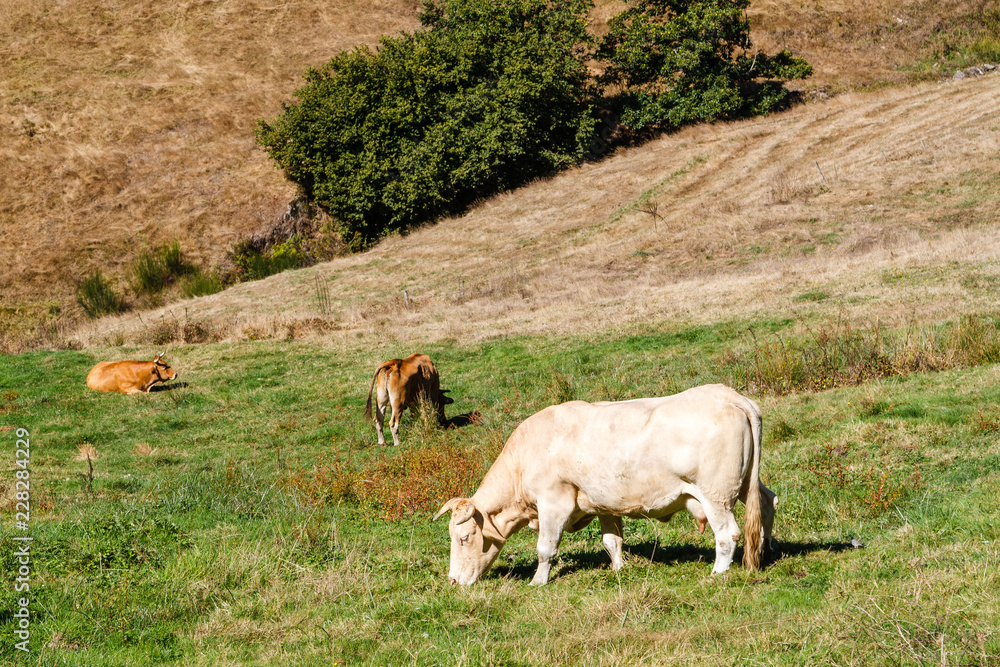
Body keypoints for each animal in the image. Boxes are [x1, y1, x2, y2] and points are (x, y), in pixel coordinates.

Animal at [434, 384, 777, 586]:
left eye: (464, 538)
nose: (452, 580)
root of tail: (726, 394)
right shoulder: (603, 505)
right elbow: (612, 541)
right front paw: (619, 570)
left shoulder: (554, 503)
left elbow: (545, 548)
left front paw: (538, 581)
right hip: (745, 484)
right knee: (767, 503)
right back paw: (764, 551)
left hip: (716, 494)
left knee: (728, 533)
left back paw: (718, 572)